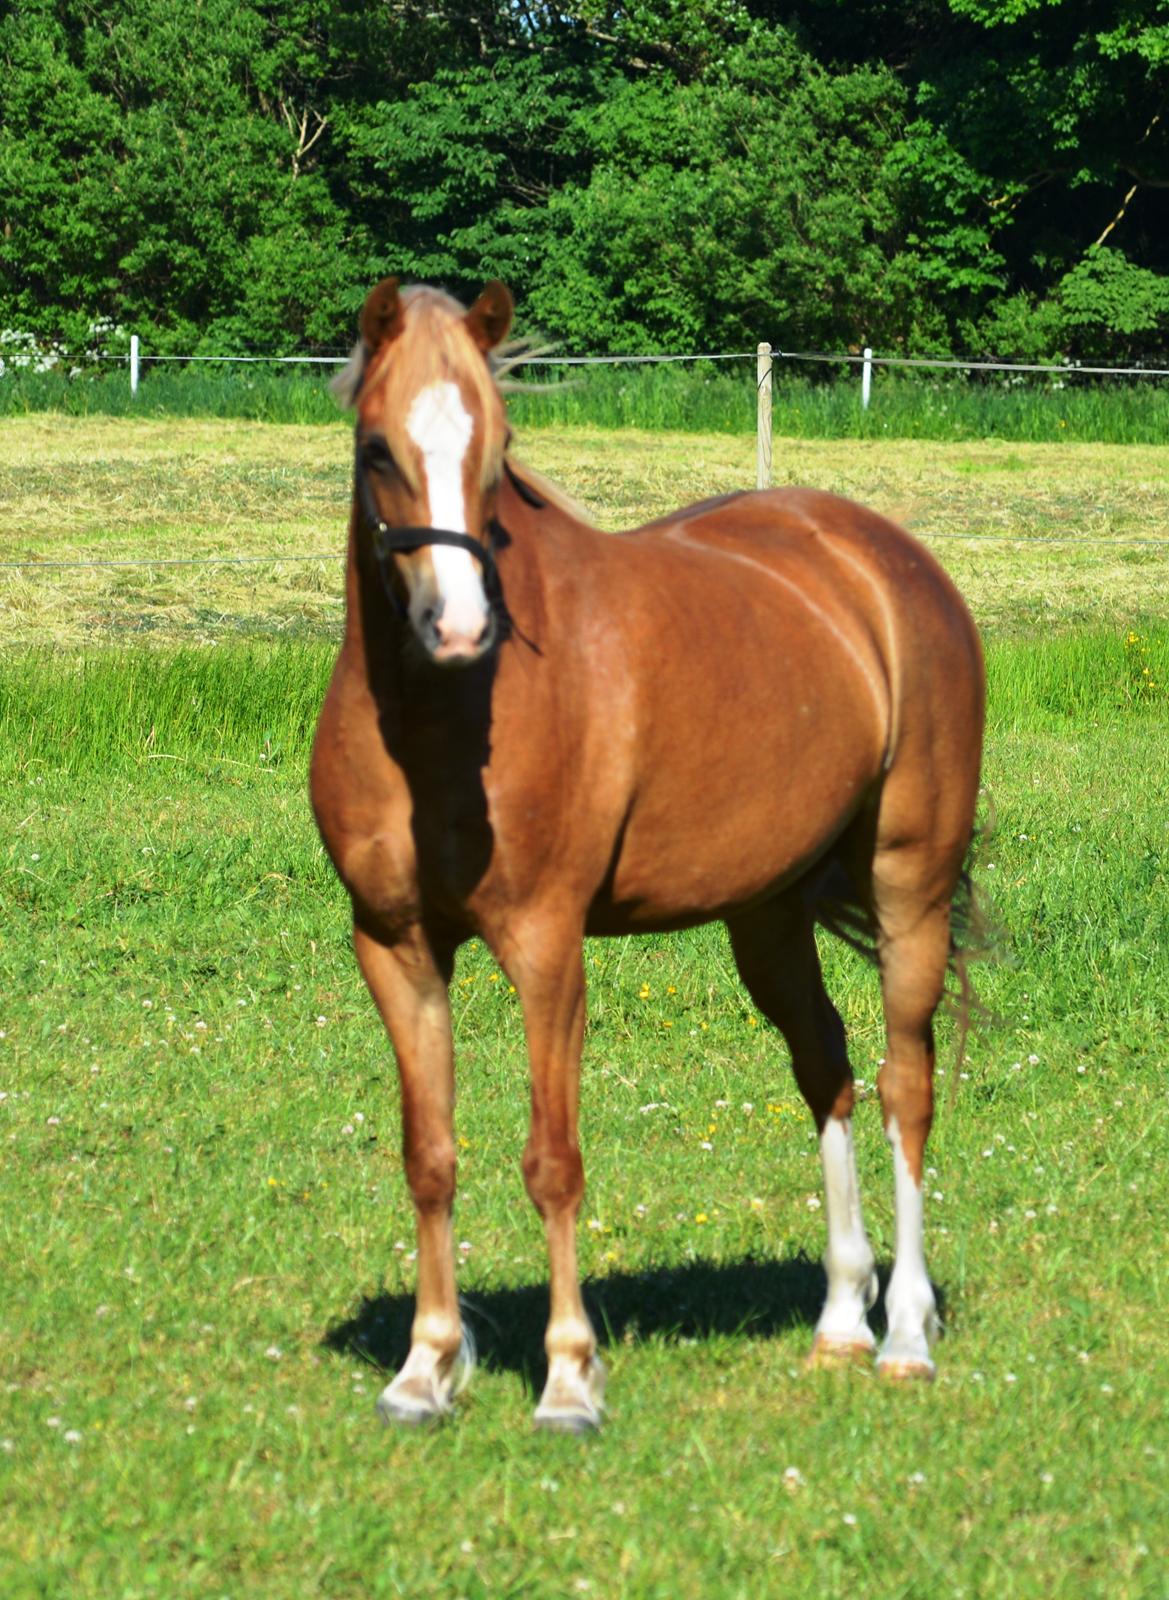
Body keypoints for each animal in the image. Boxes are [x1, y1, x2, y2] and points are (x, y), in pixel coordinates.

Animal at [310, 277, 985, 1432]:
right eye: (376, 448)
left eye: (498, 444)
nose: (460, 627)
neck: (439, 720)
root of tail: (889, 563)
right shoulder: (395, 948)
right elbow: (429, 1155)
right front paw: (425, 1367)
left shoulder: (545, 947)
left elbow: (552, 1160)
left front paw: (569, 1378)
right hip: (766, 915)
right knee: (828, 1072)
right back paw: (840, 1319)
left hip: (911, 893)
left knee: (905, 1087)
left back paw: (902, 1334)